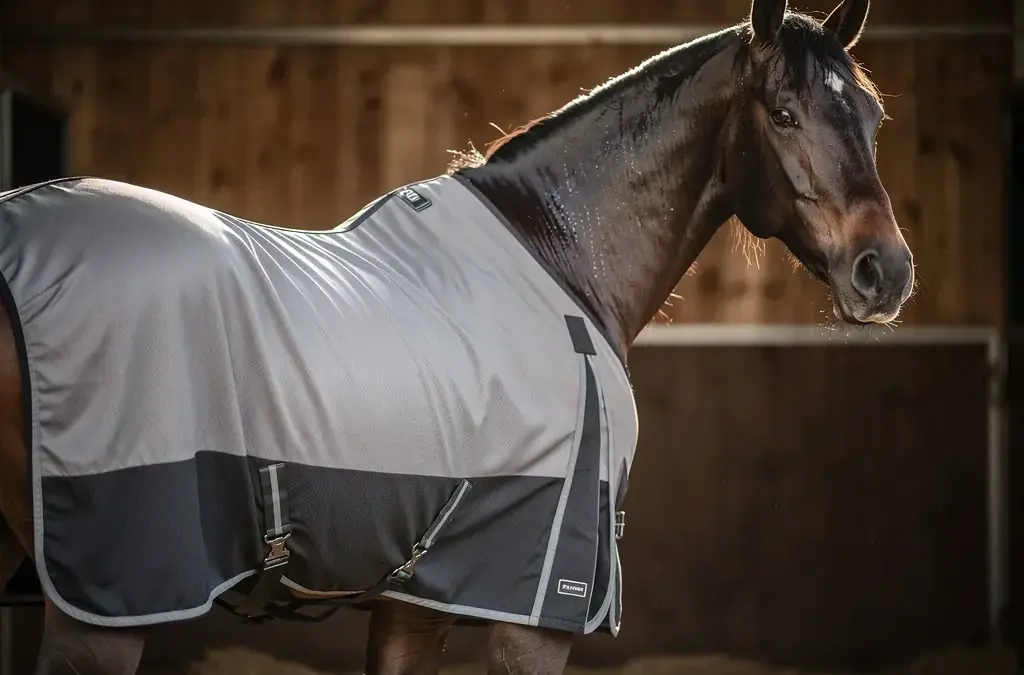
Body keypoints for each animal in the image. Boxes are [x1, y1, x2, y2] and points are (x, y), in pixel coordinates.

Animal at [0, 0, 914, 672]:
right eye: (784, 113)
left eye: (870, 116)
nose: (886, 272)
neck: (559, 259)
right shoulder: (532, 615)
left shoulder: (417, 604)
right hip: (103, 611)